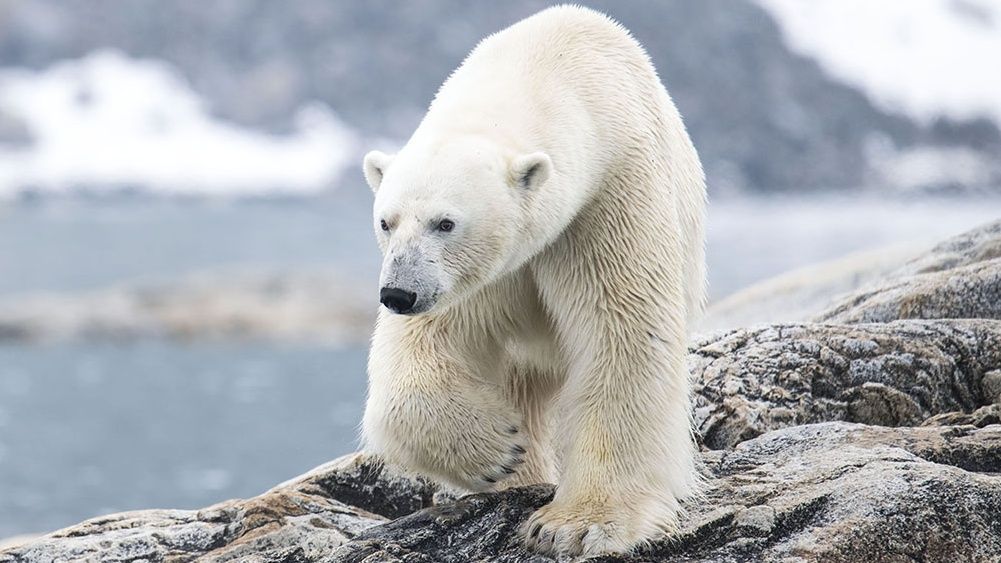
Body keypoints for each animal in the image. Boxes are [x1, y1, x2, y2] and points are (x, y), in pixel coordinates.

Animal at [360, 5, 704, 556]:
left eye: (445, 222)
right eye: (386, 221)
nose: (399, 294)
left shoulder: (609, 196)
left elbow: (623, 331)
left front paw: (580, 524)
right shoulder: (478, 276)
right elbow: (425, 349)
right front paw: (498, 450)